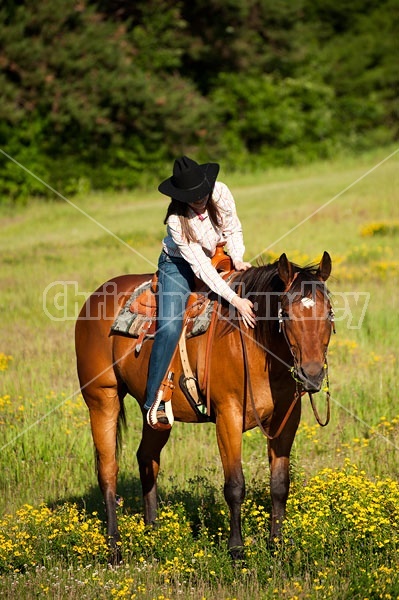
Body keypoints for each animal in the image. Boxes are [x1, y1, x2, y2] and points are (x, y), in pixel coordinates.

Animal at [75, 250, 334, 564]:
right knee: (108, 470)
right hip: (102, 399)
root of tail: (96, 296)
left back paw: (153, 533)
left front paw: (277, 545)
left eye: (329, 313)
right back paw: (114, 548)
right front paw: (236, 550)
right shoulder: (228, 416)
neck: (253, 344)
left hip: (156, 415)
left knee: (146, 459)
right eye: (286, 313)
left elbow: (280, 485)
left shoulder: (287, 419)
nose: (312, 375)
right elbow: (234, 485)